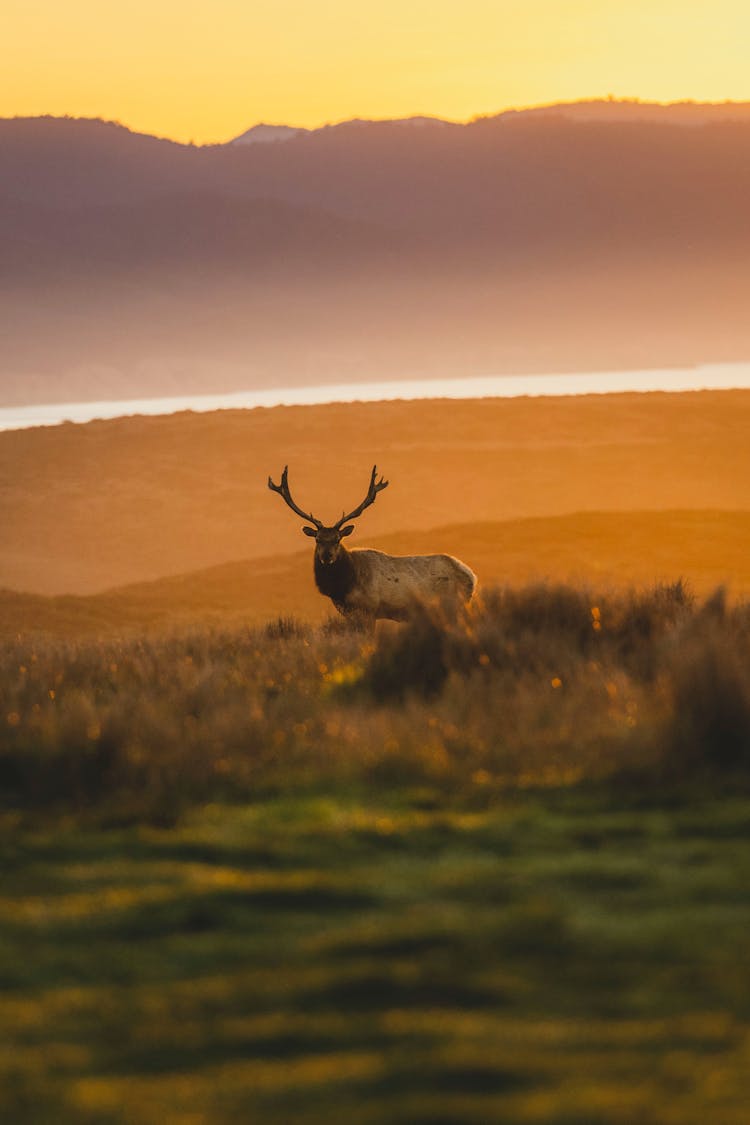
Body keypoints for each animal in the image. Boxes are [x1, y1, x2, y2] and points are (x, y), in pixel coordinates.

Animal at [268, 465, 474, 625]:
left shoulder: (368, 610)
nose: (327, 556)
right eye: (317, 539)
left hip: (453, 604)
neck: (344, 586)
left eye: (337, 539)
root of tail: (472, 577)